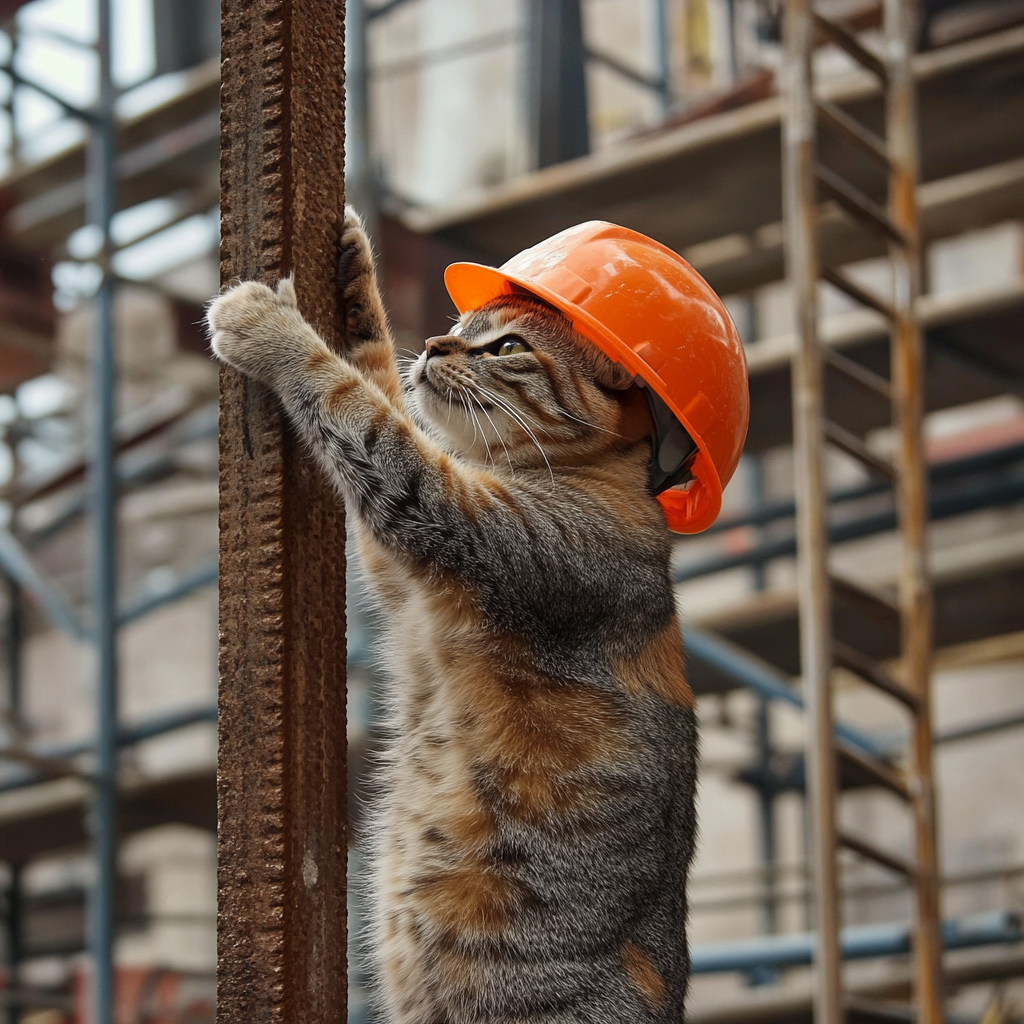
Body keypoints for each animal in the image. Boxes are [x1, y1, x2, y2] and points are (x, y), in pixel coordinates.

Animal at [207, 207, 704, 1024]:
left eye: (506, 346)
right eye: (457, 325)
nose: (438, 345)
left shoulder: (445, 512)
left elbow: (353, 403)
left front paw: (267, 326)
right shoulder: (402, 577)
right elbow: (374, 373)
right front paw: (355, 265)